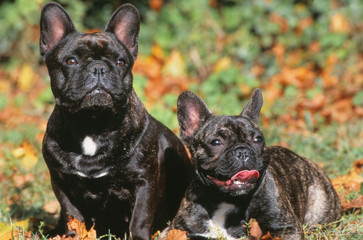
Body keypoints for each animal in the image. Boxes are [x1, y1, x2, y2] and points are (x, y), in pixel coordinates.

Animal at [162, 89, 342, 239]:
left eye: (258, 139)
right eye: (216, 142)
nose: (243, 151)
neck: (226, 201)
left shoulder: (286, 228)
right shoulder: (176, 229)